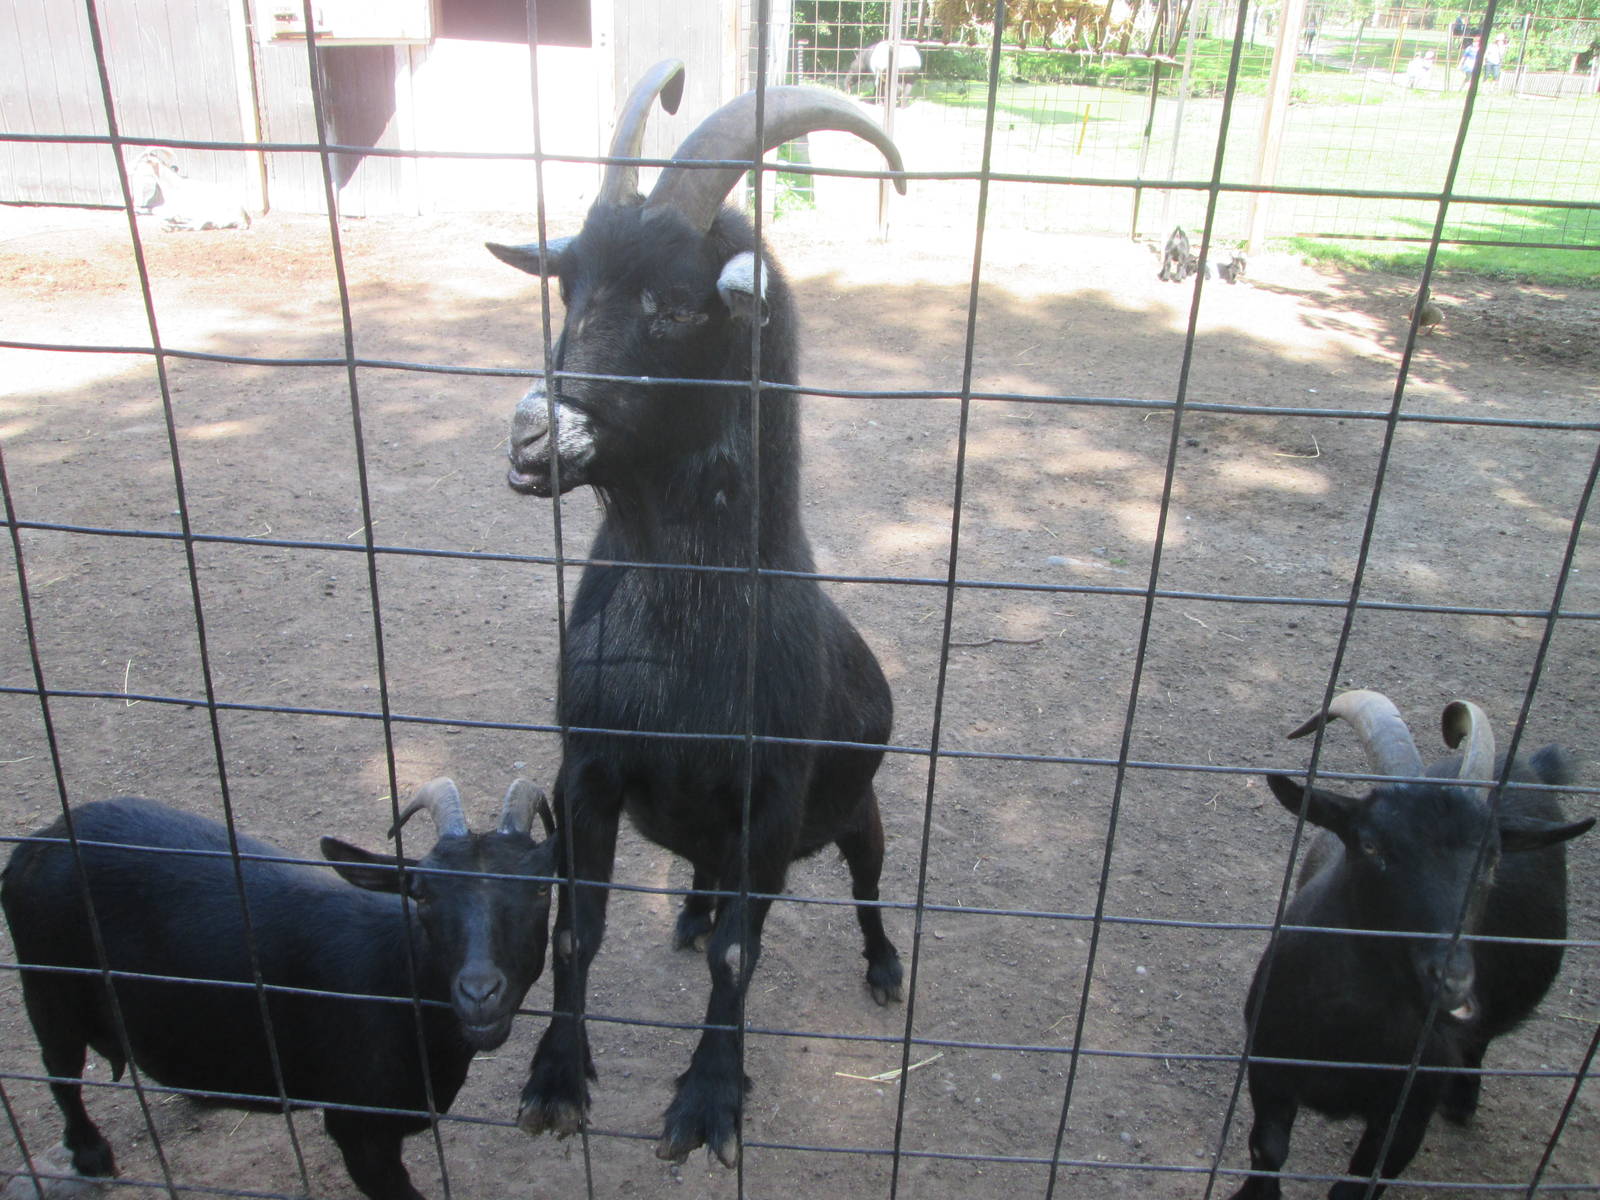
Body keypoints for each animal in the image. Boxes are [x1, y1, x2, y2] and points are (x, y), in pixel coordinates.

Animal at [1, 780, 555, 1200]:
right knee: (61, 1073)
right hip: (48, 985)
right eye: (420, 894)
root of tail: (39, 842)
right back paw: (91, 1154)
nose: (479, 991)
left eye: (542, 887)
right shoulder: (359, 1128)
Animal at [485, 59, 905, 1167]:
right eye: (568, 286)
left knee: (868, 881)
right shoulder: (585, 767)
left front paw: (709, 1100)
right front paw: (555, 1079)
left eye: (673, 306)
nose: (531, 438)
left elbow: (737, 961)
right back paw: (689, 907)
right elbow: (576, 928)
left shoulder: (771, 796)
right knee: (710, 889)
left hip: (859, 812)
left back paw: (886, 966)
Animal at [1231, 691, 1593, 1199]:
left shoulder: (1407, 1112)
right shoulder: (1269, 1067)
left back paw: (1462, 1102)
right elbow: (1267, 1151)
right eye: (1370, 845)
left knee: (1480, 1041)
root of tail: (1527, 764)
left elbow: (1358, 1184)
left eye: (1492, 859)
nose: (1452, 979)